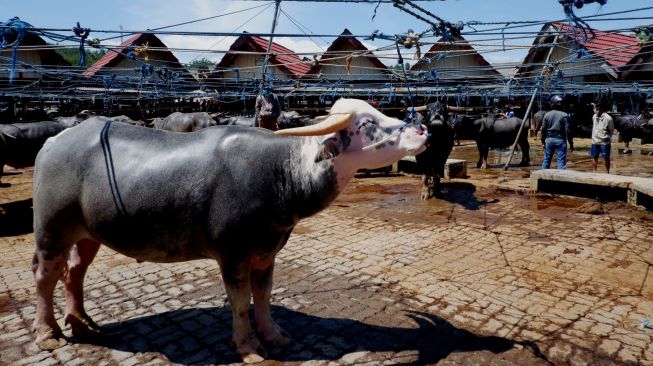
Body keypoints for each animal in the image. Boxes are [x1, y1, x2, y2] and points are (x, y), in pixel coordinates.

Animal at [29, 98, 428, 364]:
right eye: (367, 122)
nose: (421, 128)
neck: (282, 172)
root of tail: (54, 142)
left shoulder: (267, 251)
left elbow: (263, 295)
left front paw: (273, 335)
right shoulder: (232, 253)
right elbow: (239, 301)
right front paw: (248, 347)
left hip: (87, 233)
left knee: (75, 272)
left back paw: (82, 322)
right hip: (51, 231)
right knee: (45, 276)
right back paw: (49, 333)